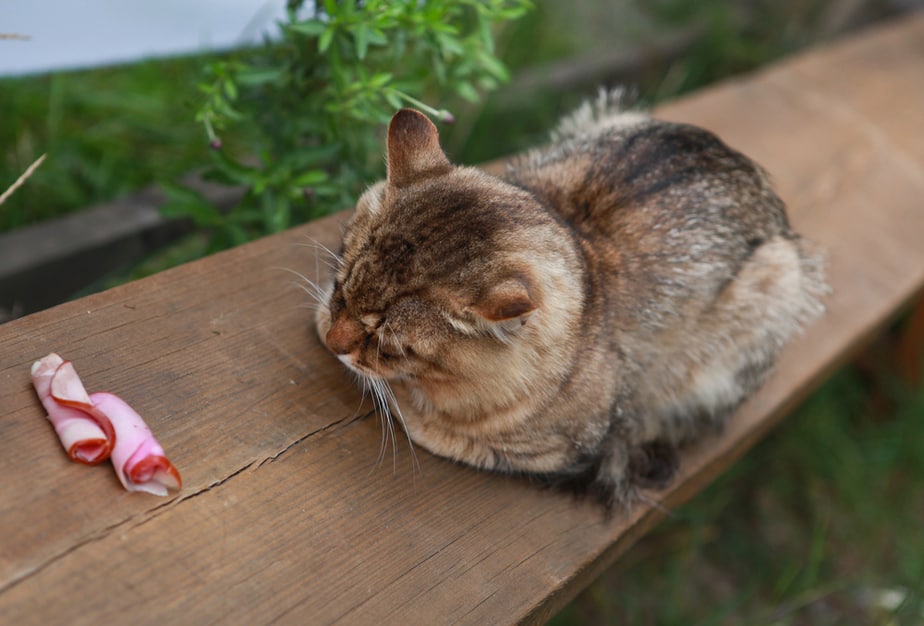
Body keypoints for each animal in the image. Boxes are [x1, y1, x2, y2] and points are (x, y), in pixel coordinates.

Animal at [314, 92, 828, 508]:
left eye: (390, 345)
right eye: (341, 289)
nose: (335, 343)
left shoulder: (552, 450)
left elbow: (427, 422)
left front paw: (400, 399)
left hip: (773, 287)